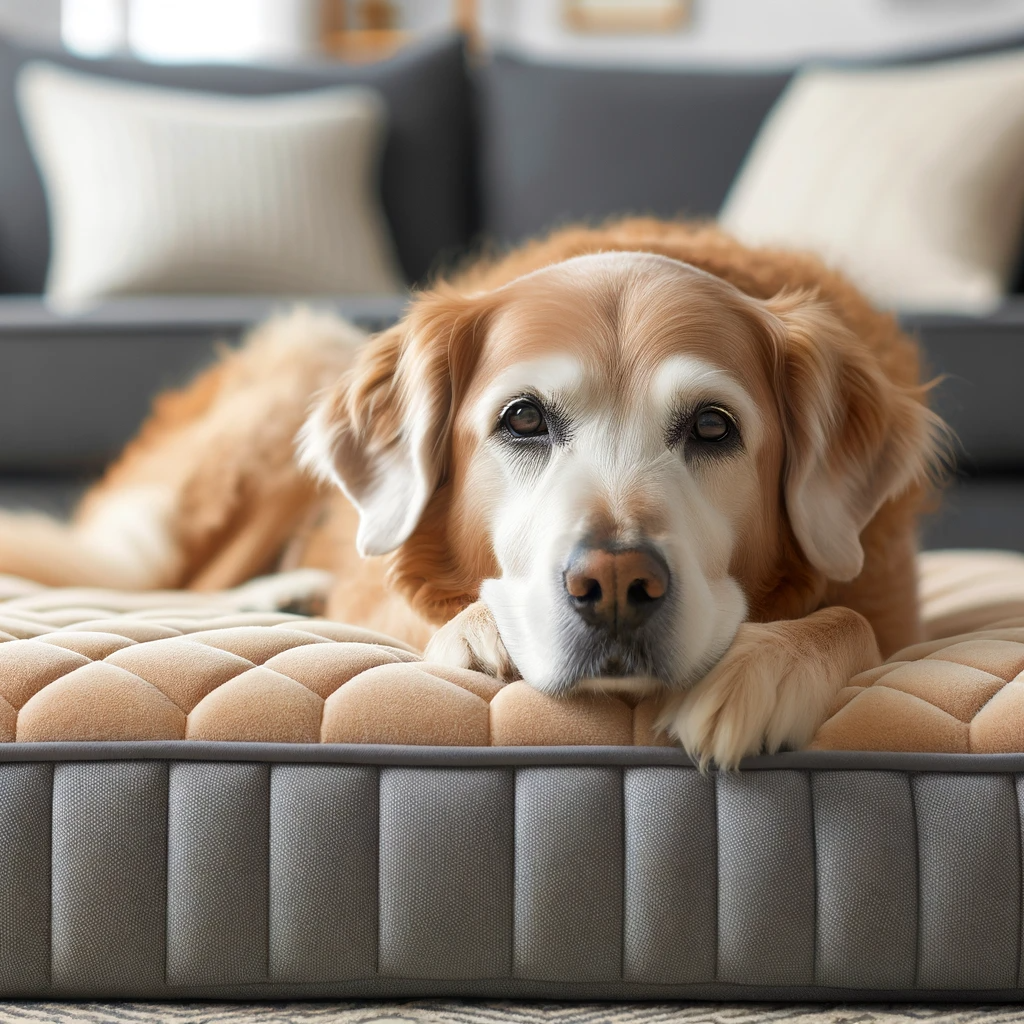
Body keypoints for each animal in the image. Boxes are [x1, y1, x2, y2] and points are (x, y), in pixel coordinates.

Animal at [0, 220, 942, 765]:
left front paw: (760, 671)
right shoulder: (375, 567)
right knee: (178, 582)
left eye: (713, 429)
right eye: (523, 419)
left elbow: (849, 620)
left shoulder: (888, 598)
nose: (615, 585)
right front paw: (479, 627)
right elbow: (406, 599)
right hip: (303, 360)